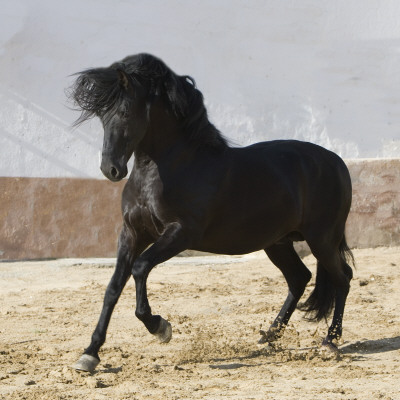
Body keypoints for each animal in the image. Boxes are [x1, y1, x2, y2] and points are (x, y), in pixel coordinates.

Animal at [68, 53, 354, 372]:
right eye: (101, 115)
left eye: (125, 110)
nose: (111, 169)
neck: (170, 167)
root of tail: (336, 162)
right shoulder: (132, 233)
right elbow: (113, 287)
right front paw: (90, 354)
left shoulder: (180, 233)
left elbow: (140, 268)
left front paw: (160, 327)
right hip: (278, 242)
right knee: (299, 278)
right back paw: (268, 337)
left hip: (322, 239)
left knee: (343, 278)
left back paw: (329, 342)